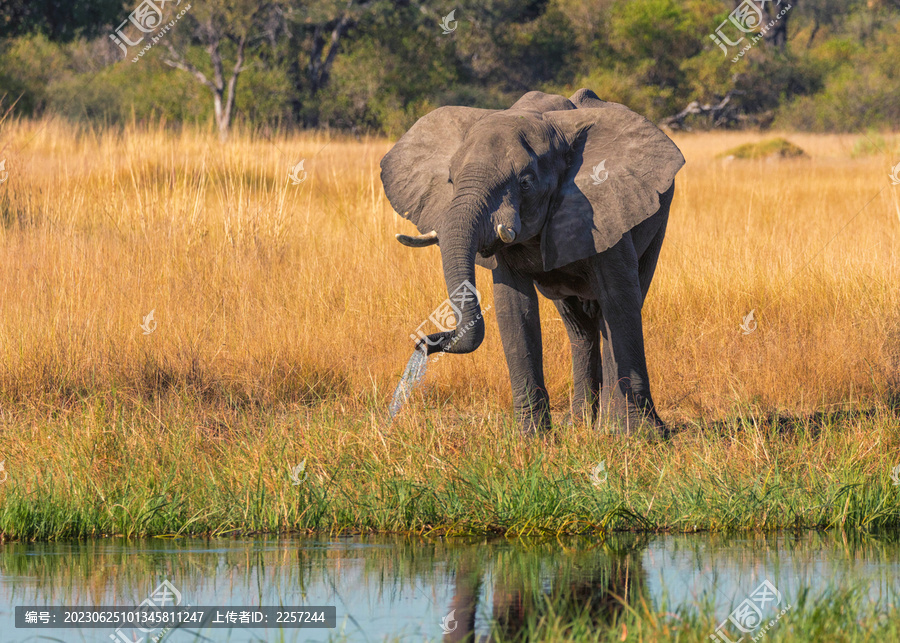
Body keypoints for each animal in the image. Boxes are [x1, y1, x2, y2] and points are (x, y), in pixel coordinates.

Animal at [380, 88, 684, 436]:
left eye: (525, 182)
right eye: (451, 181)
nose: (426, 341)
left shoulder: (609, 206)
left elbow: (620, 302)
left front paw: (640, 436)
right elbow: (514, 308)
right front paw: (531, 438)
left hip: (659, 217)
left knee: (618, 306)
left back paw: (607, 424)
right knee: (579, 328)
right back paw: (580, 422)